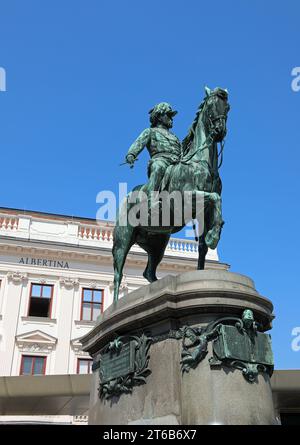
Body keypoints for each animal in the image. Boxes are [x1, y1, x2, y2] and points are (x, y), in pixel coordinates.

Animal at [112, 86, 230, 302]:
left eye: (228, 107)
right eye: (211, 105)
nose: (220, 131)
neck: (201, 163)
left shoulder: (204, 212)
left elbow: (203, 245)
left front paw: (212, 236)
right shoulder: (188, 199)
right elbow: (215, 198)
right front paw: (213, 236)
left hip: (157, 243)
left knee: (148, 273)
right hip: (122, 241)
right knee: (118, 274)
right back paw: (115, 305)